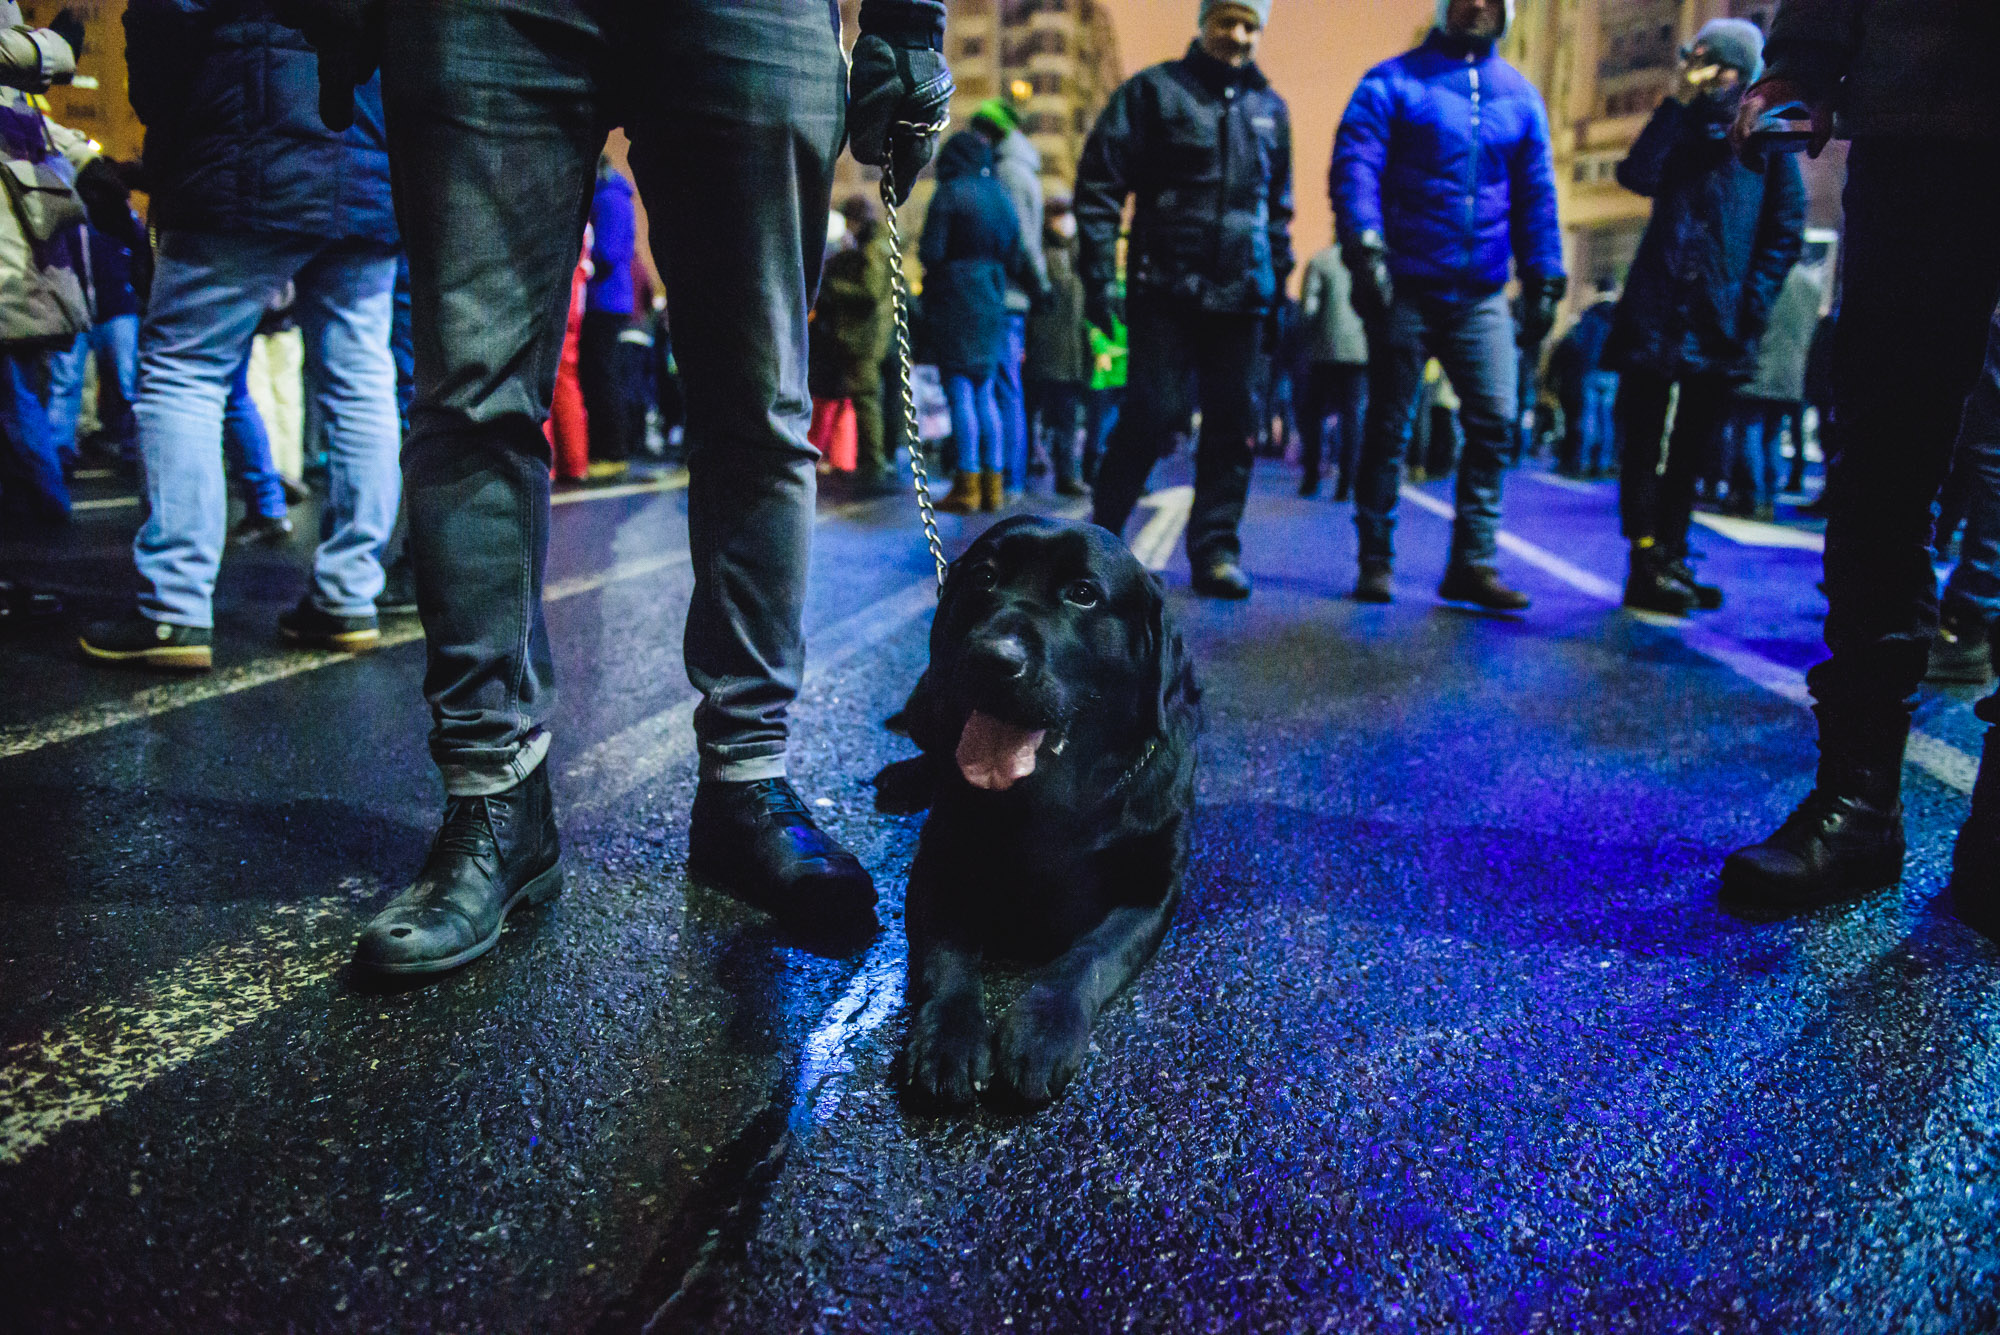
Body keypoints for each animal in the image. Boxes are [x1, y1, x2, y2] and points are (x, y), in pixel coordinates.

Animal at [892, 511, 1200, 1103]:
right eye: (984, 577)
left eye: (1083, 594)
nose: (991, 659)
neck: (1058, 795)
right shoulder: (938, 866)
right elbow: (948, 955)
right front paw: (950, 1035)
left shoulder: (1153, 890)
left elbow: (1089, 955)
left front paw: (1043, 1028)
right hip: (928, 695)